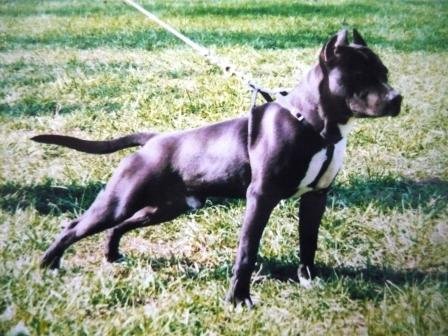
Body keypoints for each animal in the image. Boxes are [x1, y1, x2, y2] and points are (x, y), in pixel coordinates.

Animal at [32, 30, 402, 306]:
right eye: (359, 75)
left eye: (385, 73)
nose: (396, 98)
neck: (312, 123)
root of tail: (152, 140)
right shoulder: (261, 197)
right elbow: (247, 251)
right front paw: (238, 299)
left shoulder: (316, 198)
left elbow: (308, 242)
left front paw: (308, 279)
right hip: (120, 200)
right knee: (75, 226)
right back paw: (47, 264)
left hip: (165, 208)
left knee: (119, 226)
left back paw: (111, 255)